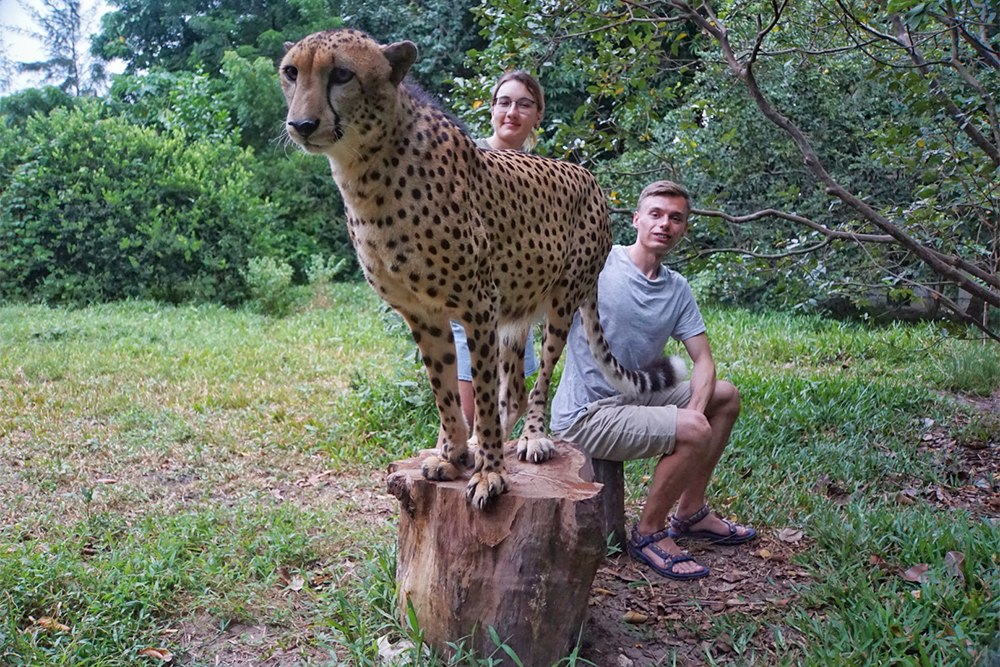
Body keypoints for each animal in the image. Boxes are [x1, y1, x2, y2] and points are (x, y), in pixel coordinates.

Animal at [284, 30, 688, 512]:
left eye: (342, 74)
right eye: (291, 72)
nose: (301, 125)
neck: (369, 165)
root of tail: (587, 175)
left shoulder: (478, 306)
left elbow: (480, 392)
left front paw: (489, 473)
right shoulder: (424, 314)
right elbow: (445, 391)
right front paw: (454, 455)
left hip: (560, 299)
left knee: (537, 380)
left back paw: (532, 438)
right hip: (516, 311)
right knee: (511, 388)